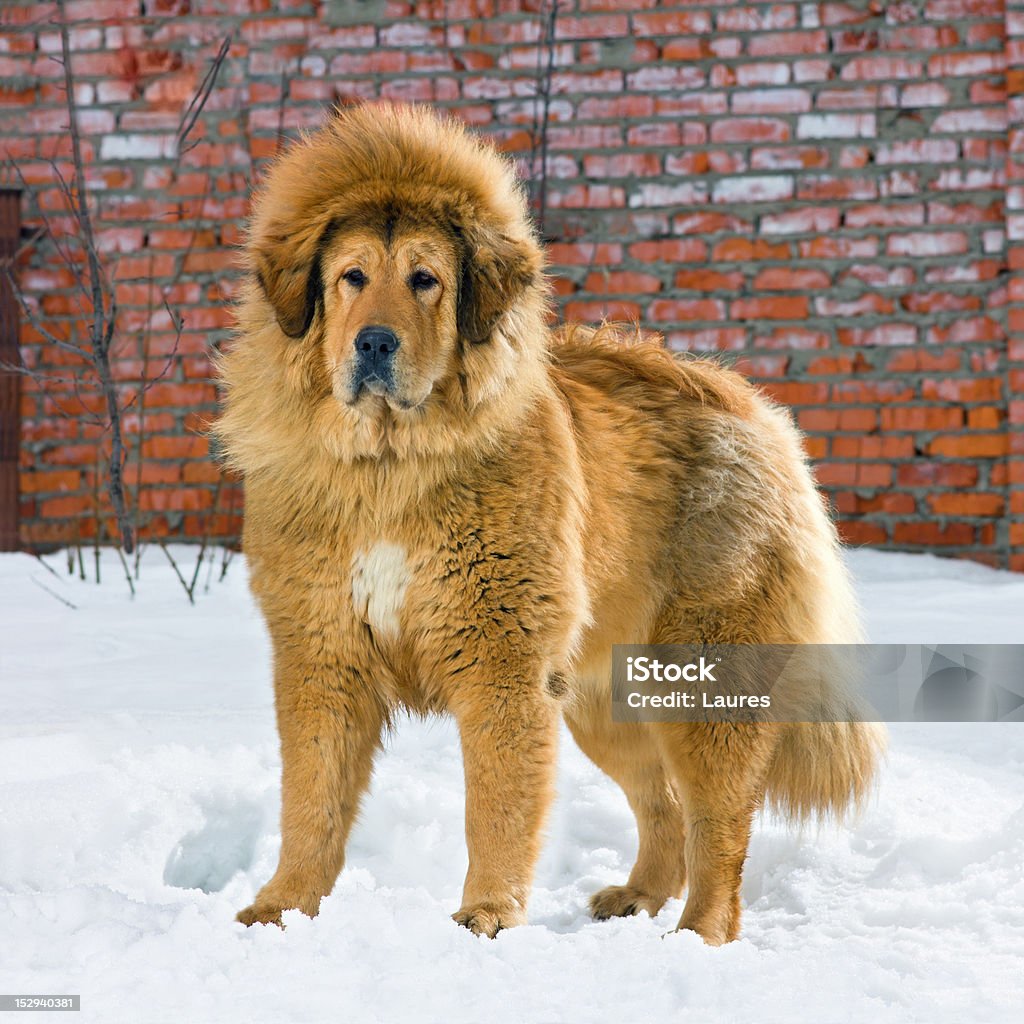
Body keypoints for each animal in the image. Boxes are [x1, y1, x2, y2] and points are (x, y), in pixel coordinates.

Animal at [218, 103, 888, 942]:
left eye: (425, 280)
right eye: (352, 278)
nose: (374, 342)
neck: (391, 468)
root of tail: (750, 405)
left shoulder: (501, 661)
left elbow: (496, 805)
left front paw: (486, 915)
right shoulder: (323, 654)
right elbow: (312, 801)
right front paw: (282, 909)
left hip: (704, 681)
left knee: (720, 821)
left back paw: (698, 933)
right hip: (606, 701)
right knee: (663, 807)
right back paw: (635, 898)